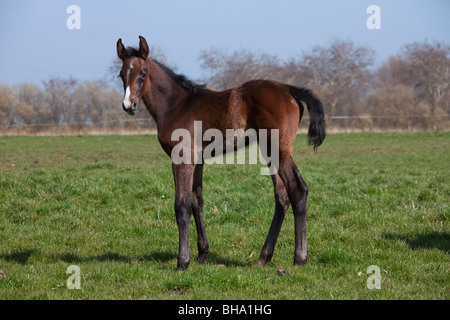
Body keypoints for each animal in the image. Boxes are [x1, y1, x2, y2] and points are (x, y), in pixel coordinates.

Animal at [118, 35, 326, 270]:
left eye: (143, 73)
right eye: (121, 74)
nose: (129, 105)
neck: (176, 105)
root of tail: (289, 89)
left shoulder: (181, 158)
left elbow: (181, 205)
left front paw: (183, 261)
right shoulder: (197, 161)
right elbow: (196, 201)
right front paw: (202, 254)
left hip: (279, 150)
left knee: (298, 190)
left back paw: (299, 258)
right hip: (270, 152)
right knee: (282, 196)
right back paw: (264, 257)